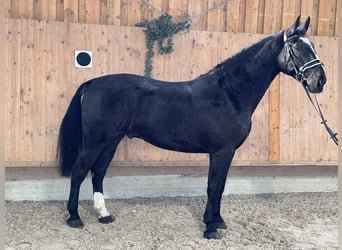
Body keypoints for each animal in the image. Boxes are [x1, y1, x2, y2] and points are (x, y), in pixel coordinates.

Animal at [58, 16, 326, 239]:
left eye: (313, 45)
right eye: (296, 47)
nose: (320, 81)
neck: (228, 93)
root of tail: (93, 83)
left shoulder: (228, 152)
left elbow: (221, 187)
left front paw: (218, 221)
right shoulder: (220, 151)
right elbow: (213, 186)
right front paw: (210, 228)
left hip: (111, 141)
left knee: (99, 172)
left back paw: (104, 215)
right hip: (96, 142)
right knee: (80, 171)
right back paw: (74, 217)